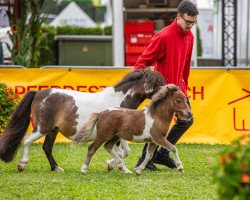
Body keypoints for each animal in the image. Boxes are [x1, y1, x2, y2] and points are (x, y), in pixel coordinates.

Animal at [0, 69, 166, 172]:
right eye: (158, 83)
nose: (170, 92)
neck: (118, 101)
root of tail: (39, 93)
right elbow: (120, 151)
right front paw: (115, 165)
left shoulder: (119, 133)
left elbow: (125, 151)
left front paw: (112, 165)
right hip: (42, 128)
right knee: (27, 141)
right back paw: (22, 165)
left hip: (53, 131)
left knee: (46, 147)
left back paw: (56, 168)